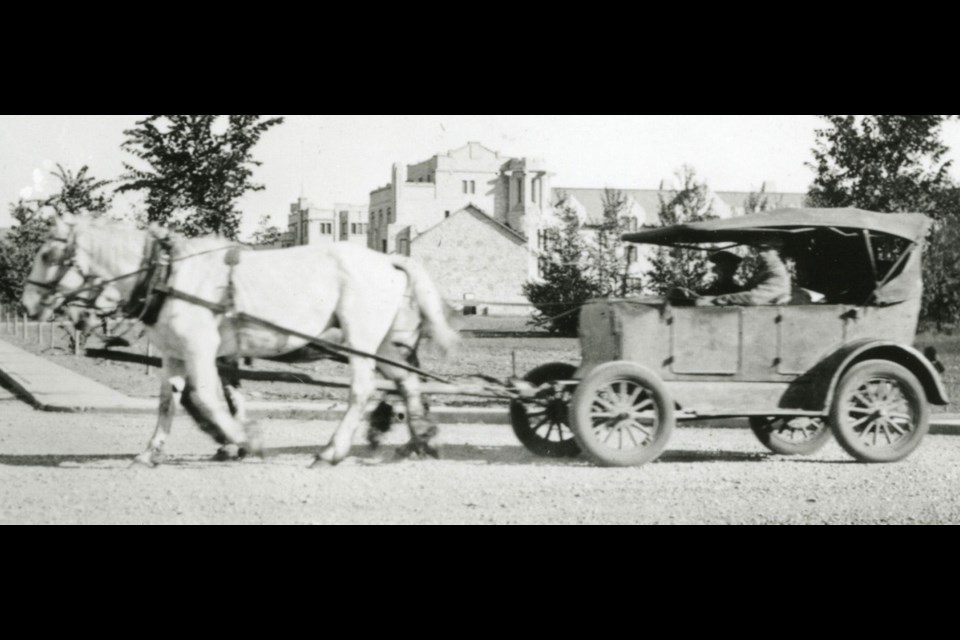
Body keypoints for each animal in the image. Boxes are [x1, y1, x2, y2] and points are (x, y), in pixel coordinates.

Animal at [21, 215, 458, 464]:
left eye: (45, 255)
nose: (26, 304)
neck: (167, 275)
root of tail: (389, 259)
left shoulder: (201, 351)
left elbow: (208, 400)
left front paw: (242, 440)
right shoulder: (175, 355)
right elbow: (168, 403)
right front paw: (149, 453)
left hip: (361, 339)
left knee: (363, 390)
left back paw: (332, 451)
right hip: (385, 342)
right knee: (407, 381)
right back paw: (420, 441)